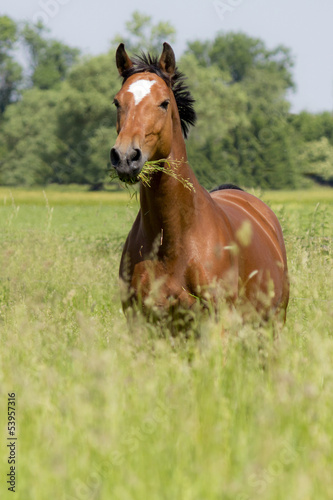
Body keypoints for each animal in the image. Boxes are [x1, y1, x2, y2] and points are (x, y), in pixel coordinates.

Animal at [109, 43, 288, 324]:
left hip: (275, 322)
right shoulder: (140, 322)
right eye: (117, 101)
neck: (173, 239)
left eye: (164, 103)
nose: (126, 157)